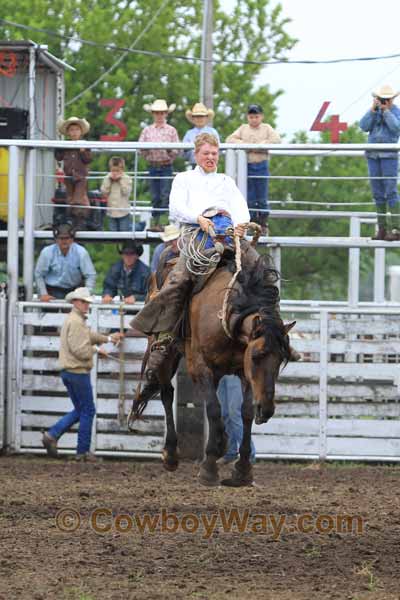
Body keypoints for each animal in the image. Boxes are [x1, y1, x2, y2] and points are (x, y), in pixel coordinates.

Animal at [129, 254, 294, 488]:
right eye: (256, 356)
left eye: (281, 360)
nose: (267, 410)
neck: (228, 319)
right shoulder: (200, 367)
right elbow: (214, 408)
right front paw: (209, 469)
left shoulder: (243, 373)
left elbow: (245, 412)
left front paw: (242, 470)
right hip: (164, 350)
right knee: (167, 394)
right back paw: (170, 454)